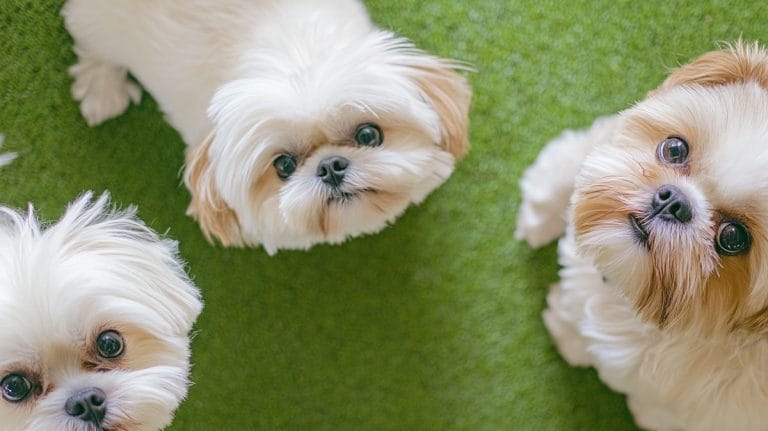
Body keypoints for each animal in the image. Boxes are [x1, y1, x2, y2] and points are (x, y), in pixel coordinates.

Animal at [60, 0, 472, 255]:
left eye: (369, 135)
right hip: (100, 24)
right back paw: (103, 89)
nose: (331, 166)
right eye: (284, 166)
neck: (295, 52)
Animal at [516, 40, 768, 431]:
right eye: (674, 148)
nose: (674, 202)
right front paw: (543, 206)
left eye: (732, 238)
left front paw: (566, 329)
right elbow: (591, 148)